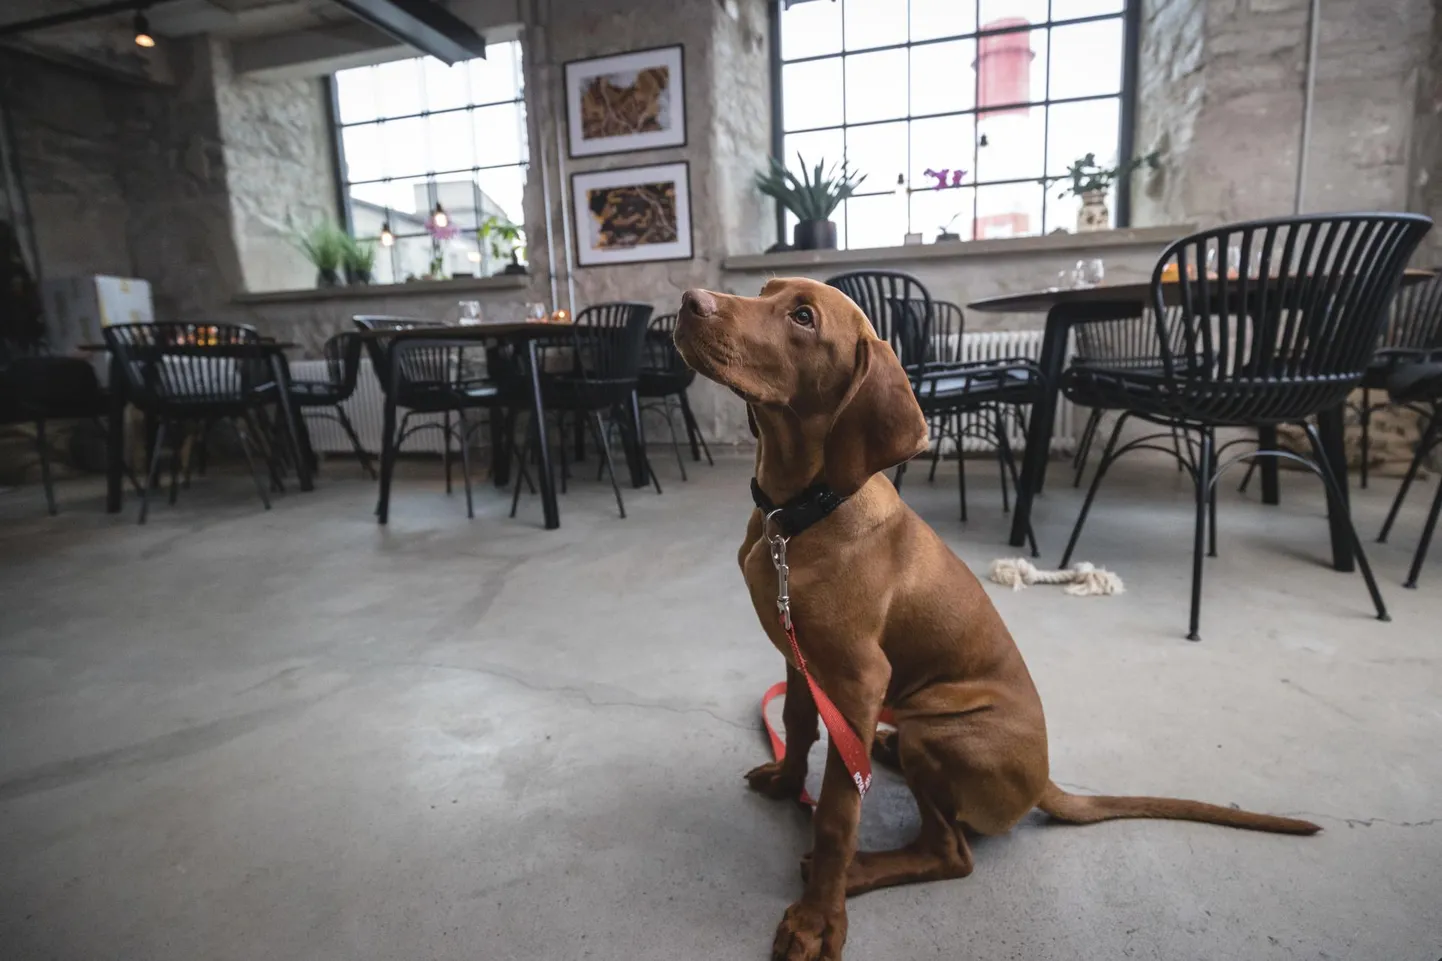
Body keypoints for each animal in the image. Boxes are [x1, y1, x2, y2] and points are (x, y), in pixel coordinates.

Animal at [674, 277, 1320, 958]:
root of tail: (1044, 782)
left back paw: (861, 869)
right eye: (764, 291)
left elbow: (836, 813)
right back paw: (883, 748)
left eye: (802, 317)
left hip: (940, 731)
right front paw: (786, 779)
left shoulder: (857, 679)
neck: (797, 515)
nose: (689, 302)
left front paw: (819, 917)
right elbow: (799, 726)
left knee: (951, 852)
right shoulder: (800, 655)